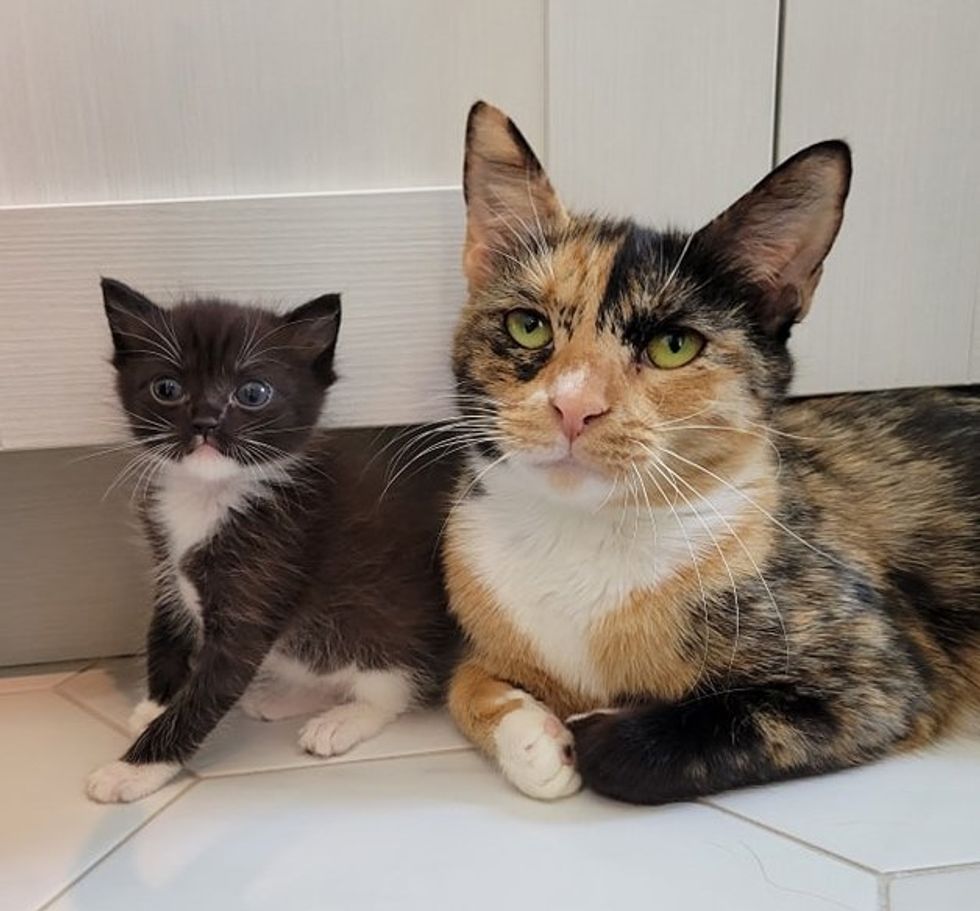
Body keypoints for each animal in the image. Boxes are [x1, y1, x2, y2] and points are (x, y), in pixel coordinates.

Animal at [86, 282, 462, 800]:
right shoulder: (165, 560)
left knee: (394, 681)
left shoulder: (266, 577)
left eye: (252, 393)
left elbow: (210, 691)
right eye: (167, 388)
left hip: (384, 621)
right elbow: (164, 631)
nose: (205, 421)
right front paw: (156, 705)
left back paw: (342, 718)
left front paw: (135, 768)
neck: (207, 497)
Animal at [444, 101, 980, 804]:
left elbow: (663, 740)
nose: (574, 406)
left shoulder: (879, 673)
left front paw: (587, 734)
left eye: (674, 345)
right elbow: (460, 683)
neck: (581, 531)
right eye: (527, 326)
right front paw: (533, 741)